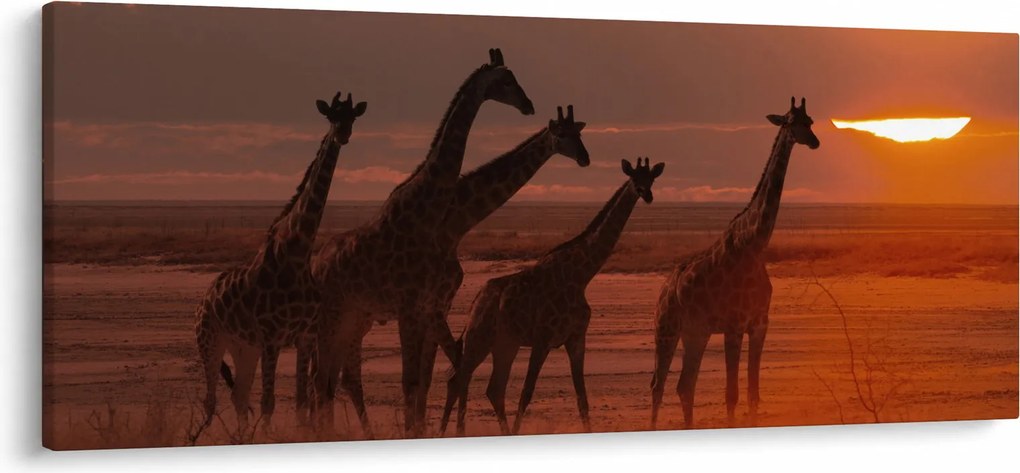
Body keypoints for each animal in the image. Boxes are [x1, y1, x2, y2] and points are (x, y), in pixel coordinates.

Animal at [193, 91, 366, 434]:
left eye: (352, 116)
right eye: (331, 116)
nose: (343, 134)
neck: (298, 253)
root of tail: (205, 298)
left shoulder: (304, 337)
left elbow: (300, 402)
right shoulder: (272, 338)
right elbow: (268, 403)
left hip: (243, 348)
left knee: (238, 397)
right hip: (210, 342)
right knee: (211, 402)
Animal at [310, 49, 535, 437]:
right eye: (507, 80)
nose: (528, 105)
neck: (428, 210)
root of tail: (316, 264)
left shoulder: (427, 306)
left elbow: (423, 380)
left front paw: (421, 430)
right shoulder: (409, 307)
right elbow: (411, 380)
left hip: (351, 318)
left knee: (331, 379)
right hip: (332, 317)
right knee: (323, 377)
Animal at [440, 158, 665, 436]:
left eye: (651, 178)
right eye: (635, 178)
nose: (647, 194)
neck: (581, 276)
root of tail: (476, 300)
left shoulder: (576, 338)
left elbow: (582, 398)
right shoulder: (542, 339)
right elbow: (526, 394)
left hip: (506, 344)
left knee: (492, 389)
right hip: (479, 338)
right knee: (459, 379)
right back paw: (450, 431)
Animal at [650, 97, 820, 430]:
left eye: (810, 121)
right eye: (790, 122)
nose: (815, 142)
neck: (754, 245)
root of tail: (664, 287)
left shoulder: (760, 324)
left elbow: (753, 393)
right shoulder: (734, 325)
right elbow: (732, 394)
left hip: (695, 332)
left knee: (685, 385)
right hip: (666, 327)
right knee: (657, 385)